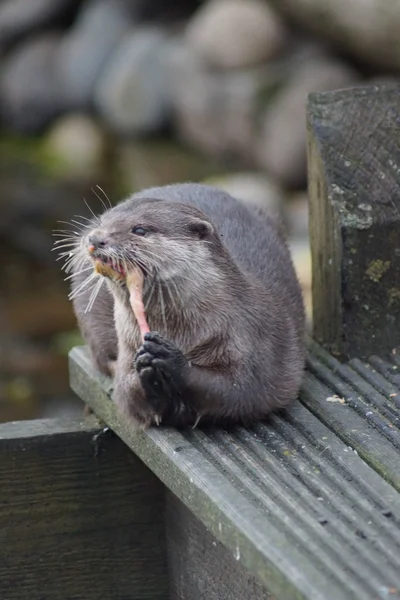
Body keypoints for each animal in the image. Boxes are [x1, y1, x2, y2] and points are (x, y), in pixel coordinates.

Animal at [64, 183, 304, 426]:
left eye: (139, 230)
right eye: (103, 221)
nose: (96, 239)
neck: (183, 332)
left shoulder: (253, 339)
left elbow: (241, 389)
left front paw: (172, 360)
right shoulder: (128, 347)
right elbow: (128, 394)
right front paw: (147, 374)